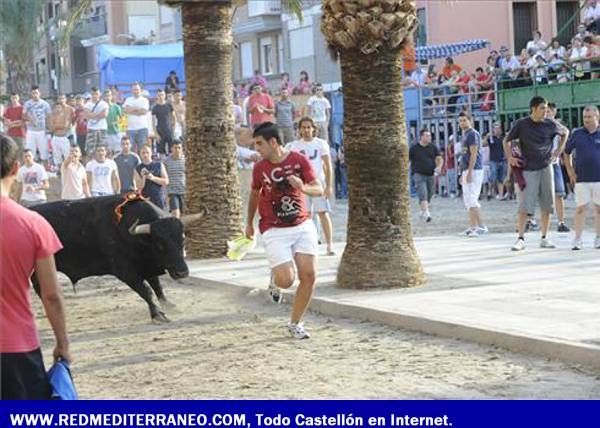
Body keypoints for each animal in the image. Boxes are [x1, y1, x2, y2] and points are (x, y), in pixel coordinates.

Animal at [30, 196, 204, 322]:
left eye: (182, 239)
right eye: (160, 244)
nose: (182, 272)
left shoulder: (146, 265)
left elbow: (157, 286)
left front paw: (168, 305)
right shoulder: (126, 272)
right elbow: (146, 290)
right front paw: (157, 314)